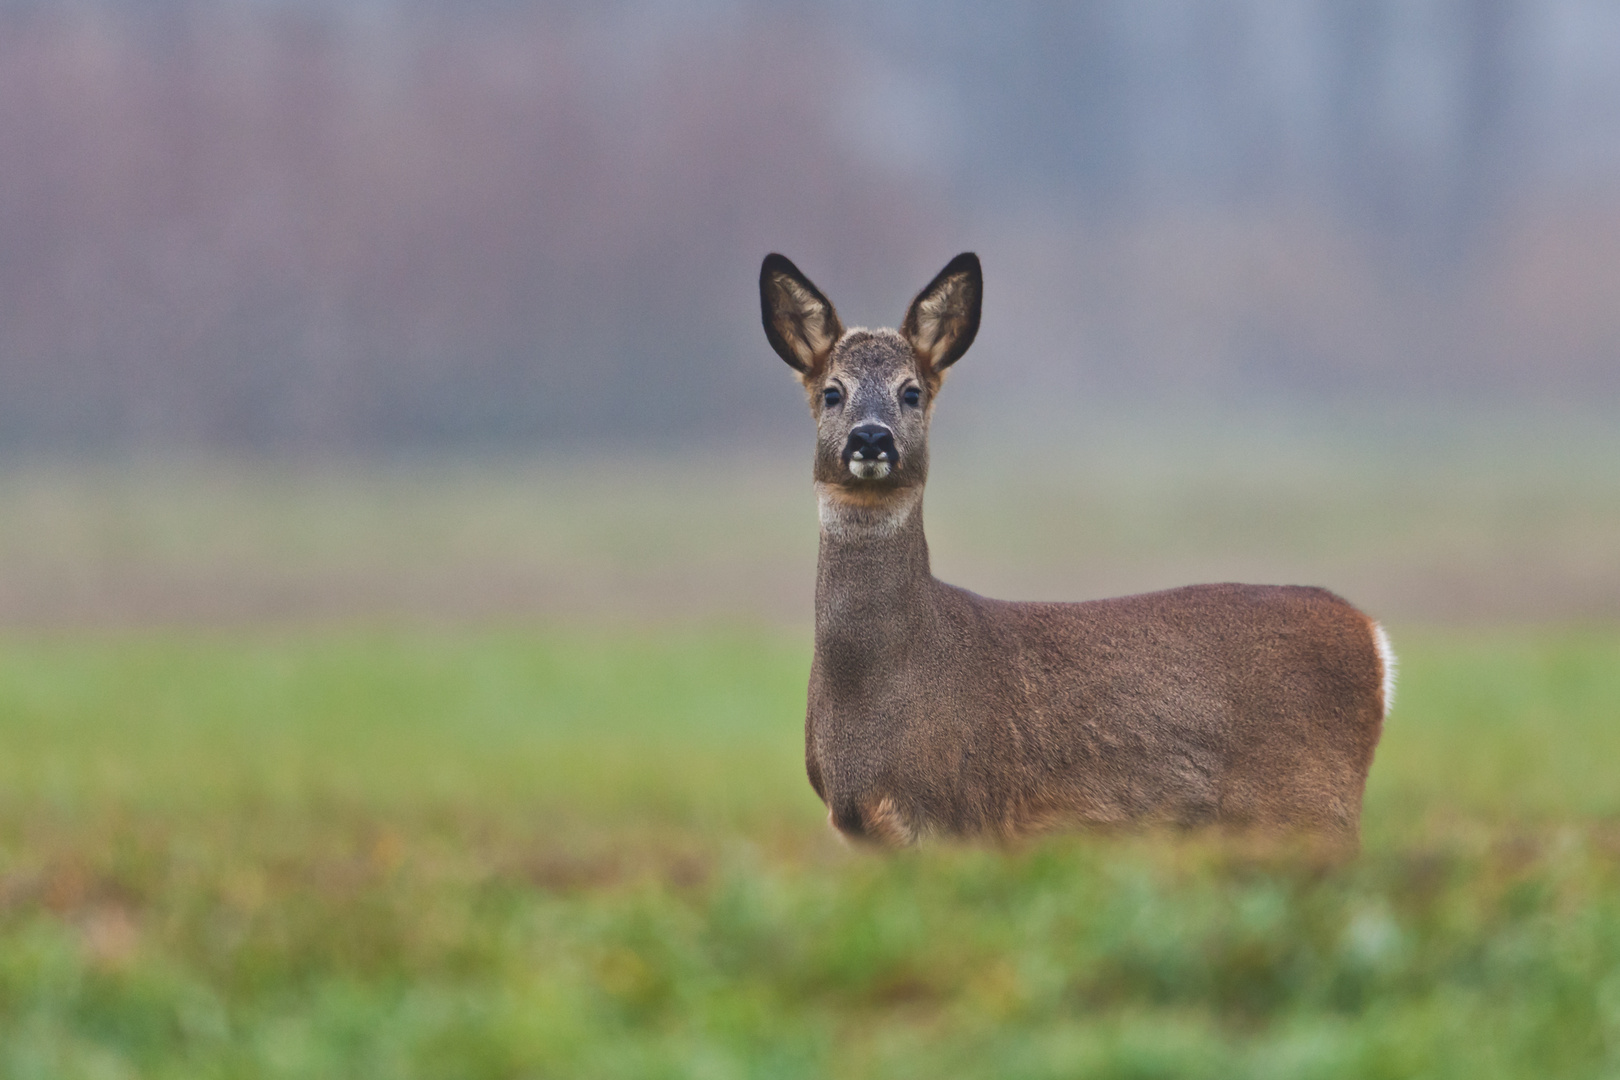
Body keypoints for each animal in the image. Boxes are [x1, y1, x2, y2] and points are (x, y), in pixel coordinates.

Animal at [758, 249, 1393, 848]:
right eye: (832, 392)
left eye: (910, 392)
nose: (871, 438)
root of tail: (1373, 638)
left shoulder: (962, 817)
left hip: (1310, 807)